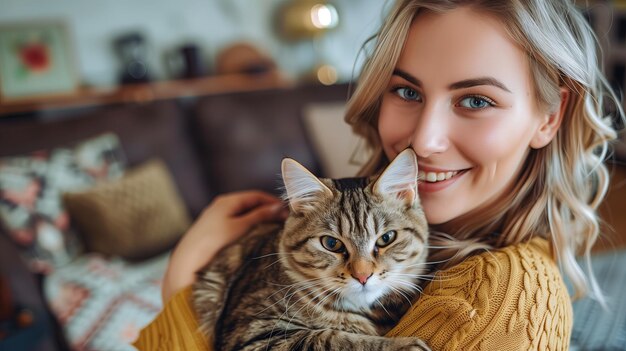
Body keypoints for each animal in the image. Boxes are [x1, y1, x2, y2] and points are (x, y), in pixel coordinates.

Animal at [194, 150, 428, 350]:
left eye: (386, 239)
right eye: (331, 244)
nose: (363, 276)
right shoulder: (250, 333)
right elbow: (329, 338)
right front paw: (402, 346)